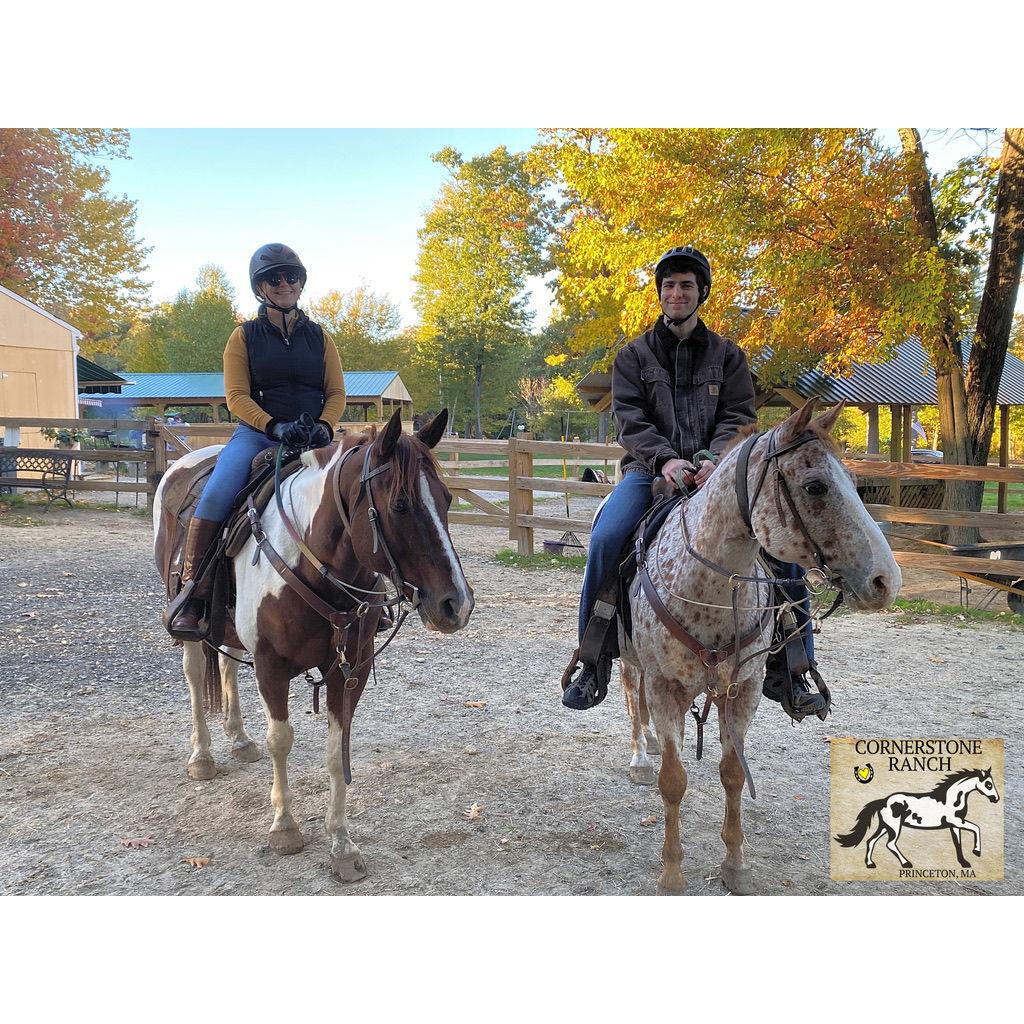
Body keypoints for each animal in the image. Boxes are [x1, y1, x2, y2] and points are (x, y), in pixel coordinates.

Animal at [153, 409, 474, 882]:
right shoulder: (271, 666)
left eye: (448, 499)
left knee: (228, 666)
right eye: (400, 505)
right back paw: (203, 756)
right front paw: (284, 828)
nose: (458, 604)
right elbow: (280, 740)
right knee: (195, 676)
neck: (314, 565)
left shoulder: (351, 670)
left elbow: (336, 751)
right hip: (188, 620)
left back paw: (239, 739)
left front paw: (341, 843)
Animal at [618, 399, 902, 894]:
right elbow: (673, 781)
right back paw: (640, 754)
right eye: (815, 486)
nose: (886, 581)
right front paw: (671, 873)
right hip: (630, 658)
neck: (708, 590)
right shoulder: (666, 687)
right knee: (634, 697)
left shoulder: (743, 690)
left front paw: (735, 864)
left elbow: (733, 774)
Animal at [835, 767, 1000, 869]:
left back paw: (870, 864)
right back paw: (906, 863)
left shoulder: (954, 825)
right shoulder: (956, 821)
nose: (996, 799)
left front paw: (964, 863)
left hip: (885, 826)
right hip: (894, 827)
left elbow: (957, 844)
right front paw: (976, 852)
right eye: (988, 784)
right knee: (890, 844)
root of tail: (884, 801)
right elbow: (976, 827)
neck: (951, 799)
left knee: (871, 841)